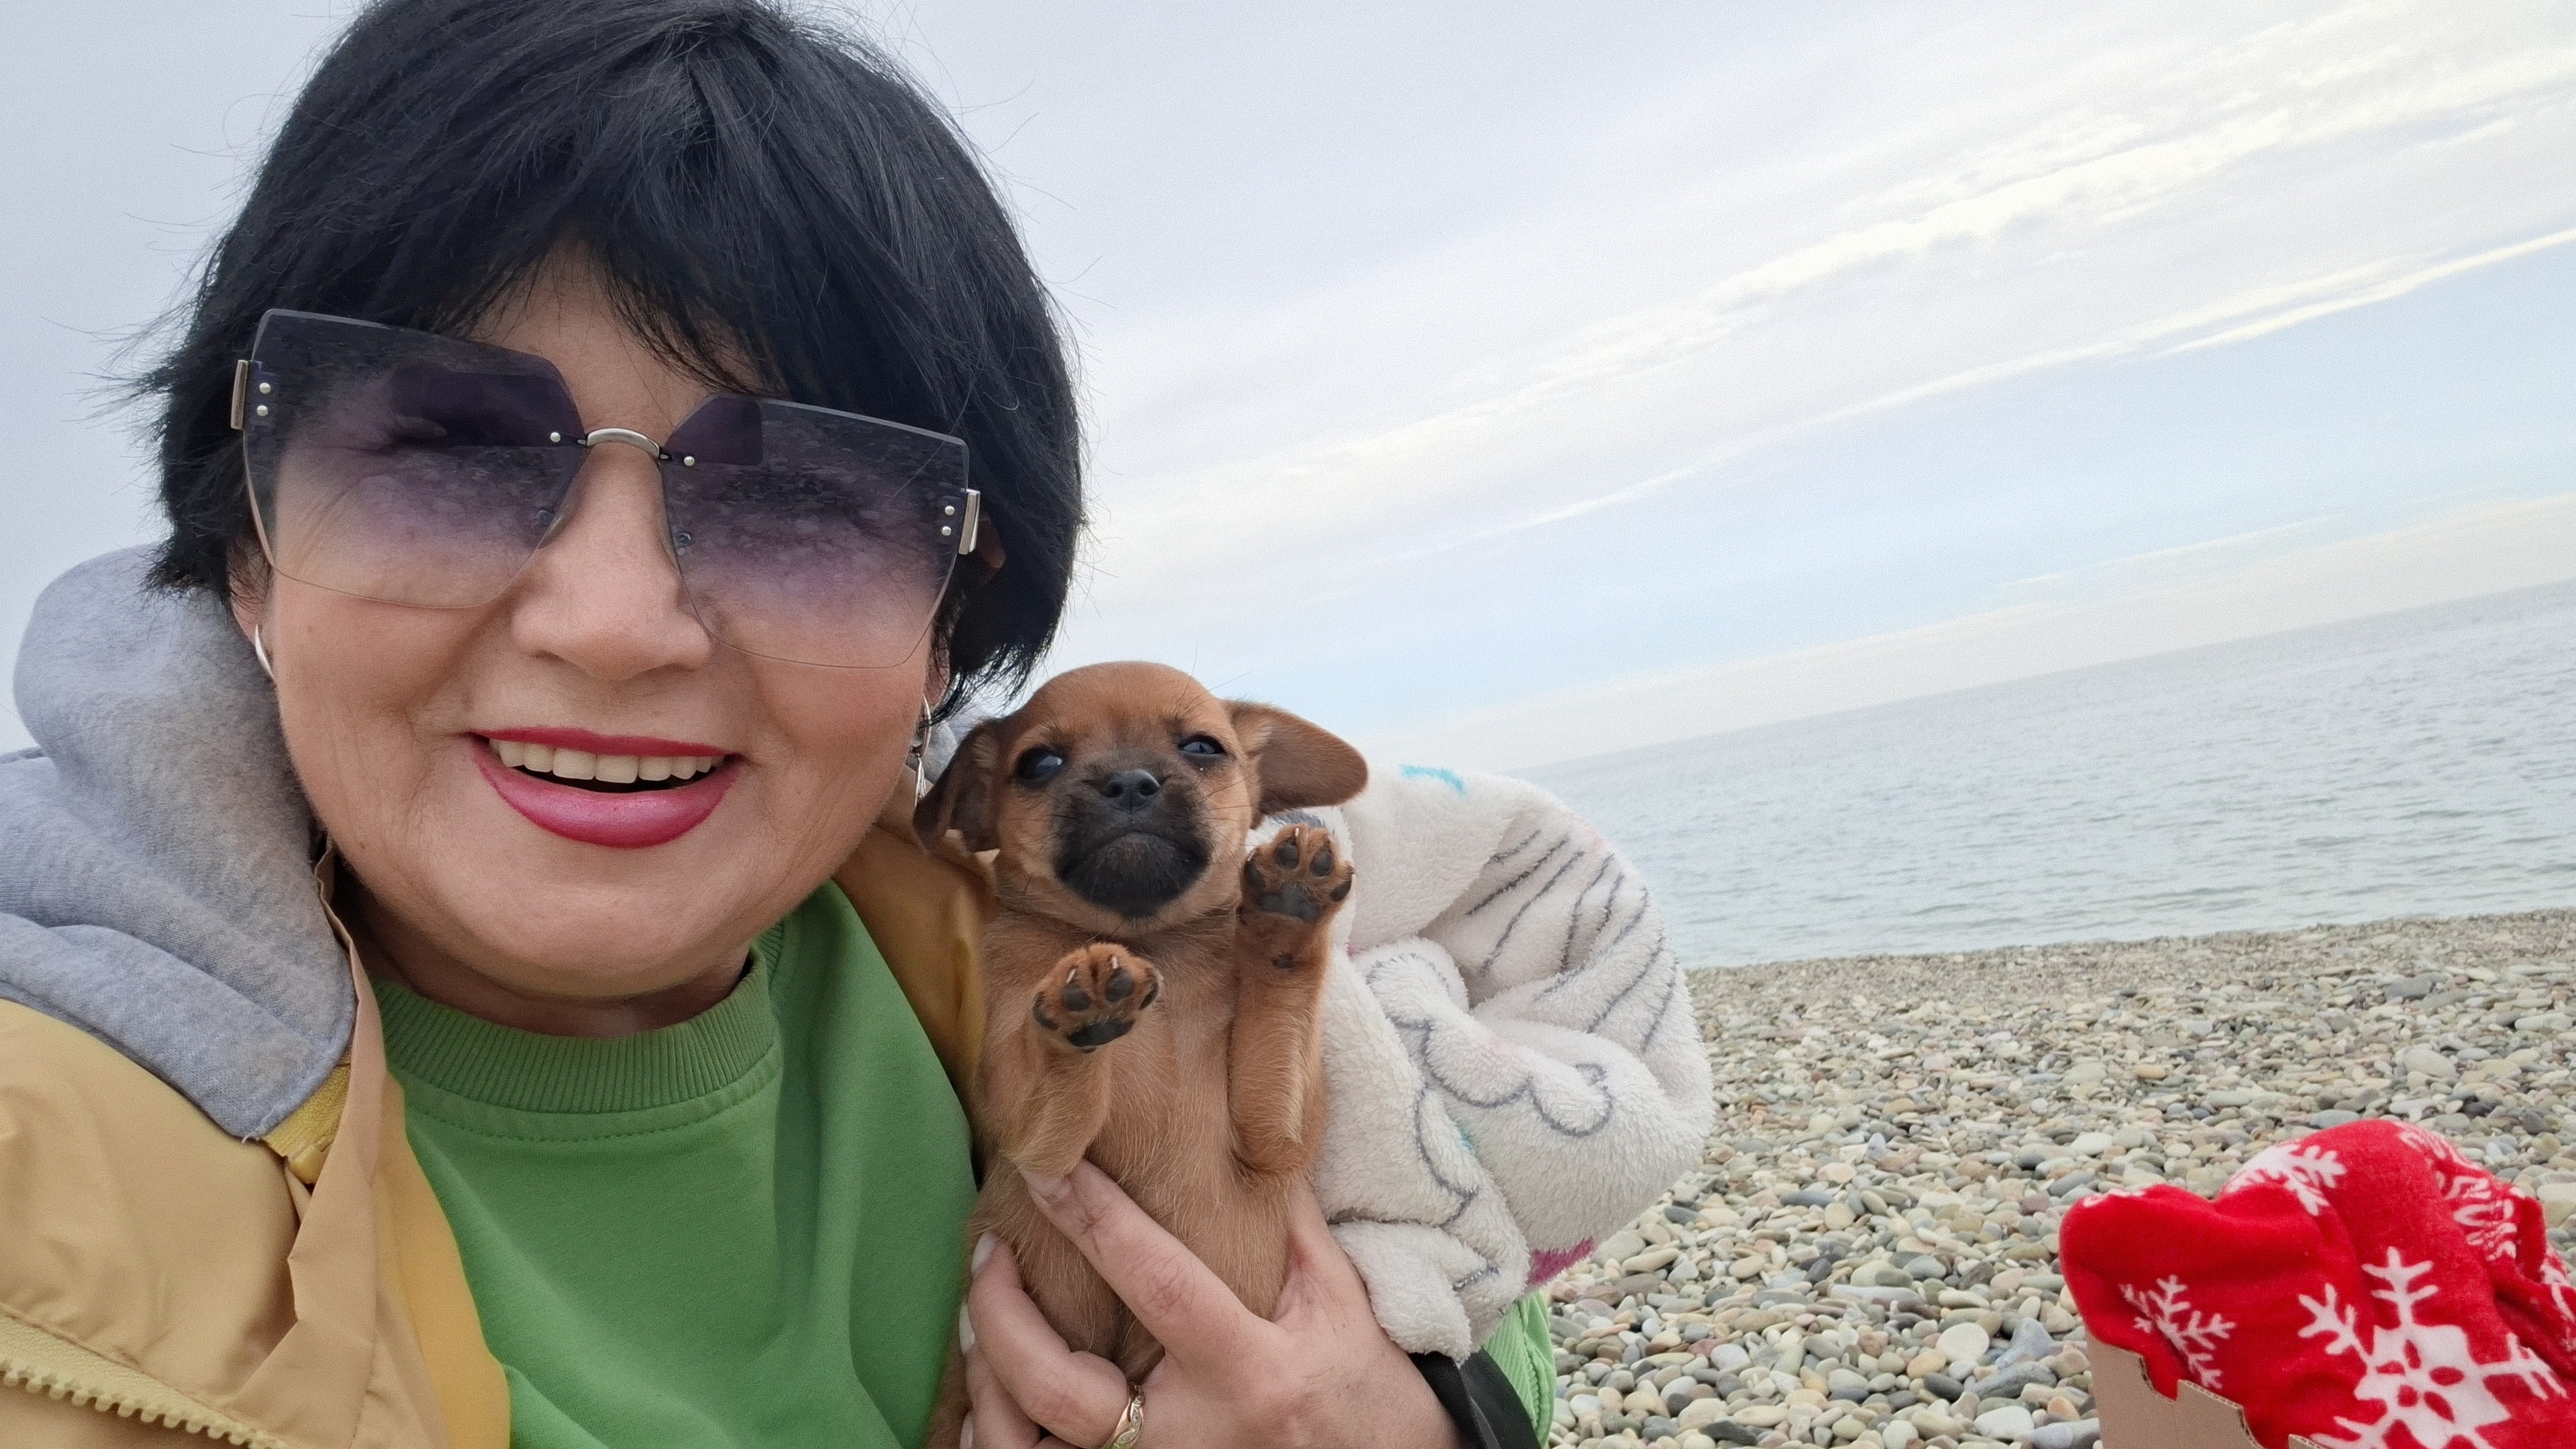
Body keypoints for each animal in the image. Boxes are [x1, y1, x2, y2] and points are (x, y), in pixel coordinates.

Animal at [916, 661, 1368, 1444]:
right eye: (1038, 764)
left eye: (1203, 747)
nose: (1128, 780)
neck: (1148, 942)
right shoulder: (1038, 1146)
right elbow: (1053, 1074)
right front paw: (1078, 1001)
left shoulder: (1274, 1133)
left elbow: (1279, 1003)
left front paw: (1286, 921)